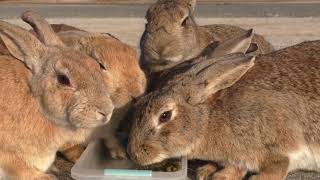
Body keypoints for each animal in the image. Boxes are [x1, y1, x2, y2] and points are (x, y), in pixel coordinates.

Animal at [22, 13, 146, 162]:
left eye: (134, 56)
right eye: (100, 64)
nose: (136, 92)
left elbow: (110, 138)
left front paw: (120, 153)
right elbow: (70, 148)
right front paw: (79, 157)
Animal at [127, 36, 320, 180]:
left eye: (165, 115)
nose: (133, 154)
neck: (207, 120)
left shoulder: (278, 144)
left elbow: (278, 166)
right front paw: (209, 173)